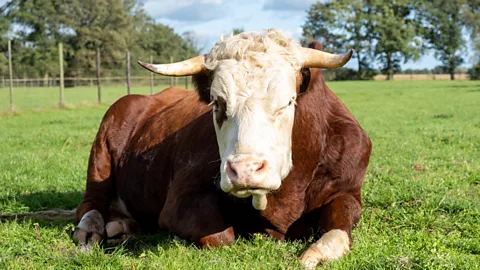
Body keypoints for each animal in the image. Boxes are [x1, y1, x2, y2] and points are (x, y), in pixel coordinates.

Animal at [72, 30, 372, 268]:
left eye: (288, 102)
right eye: (217, 104)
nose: (245, 170)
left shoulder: (348, 190)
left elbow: (338, 226)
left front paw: (316, 253)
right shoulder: (180, 200)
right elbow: (221, 236)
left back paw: (122, 226)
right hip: (101, 152)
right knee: (91, 203)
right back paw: (91, 228)